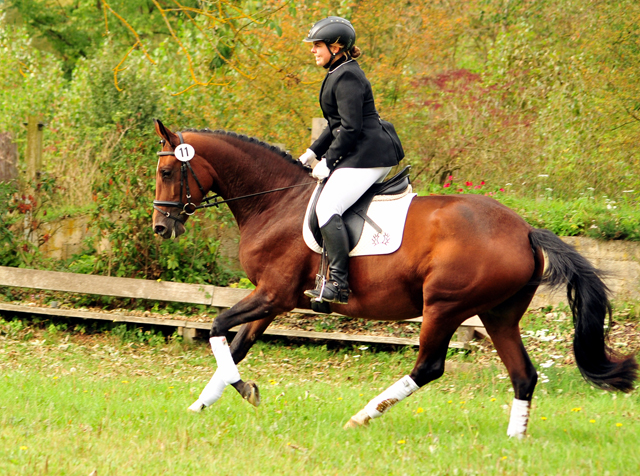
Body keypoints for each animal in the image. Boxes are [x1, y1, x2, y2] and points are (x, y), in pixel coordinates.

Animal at [150, 120, 636, 438]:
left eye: (167, 172)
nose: (160, 228)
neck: (275, 202)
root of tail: (525, 230)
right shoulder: (273, 300)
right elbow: (235, 346)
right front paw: (201, 405)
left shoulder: (272, 294)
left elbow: (218, 329)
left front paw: (243, 389)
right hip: (499, 315)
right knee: (524, 375)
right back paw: (515, 442)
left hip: (444, 306)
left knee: (429, 367)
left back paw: (362, 417)